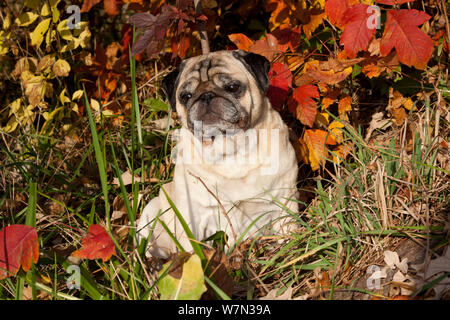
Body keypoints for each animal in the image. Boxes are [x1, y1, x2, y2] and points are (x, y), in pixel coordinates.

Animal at [137, 50, 298, 260]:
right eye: (185, 96)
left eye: (232, 87)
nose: (206, 96)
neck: (231, 151)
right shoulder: (193, 218)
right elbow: (193, 249)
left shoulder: (285, 202)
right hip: (152, 212)